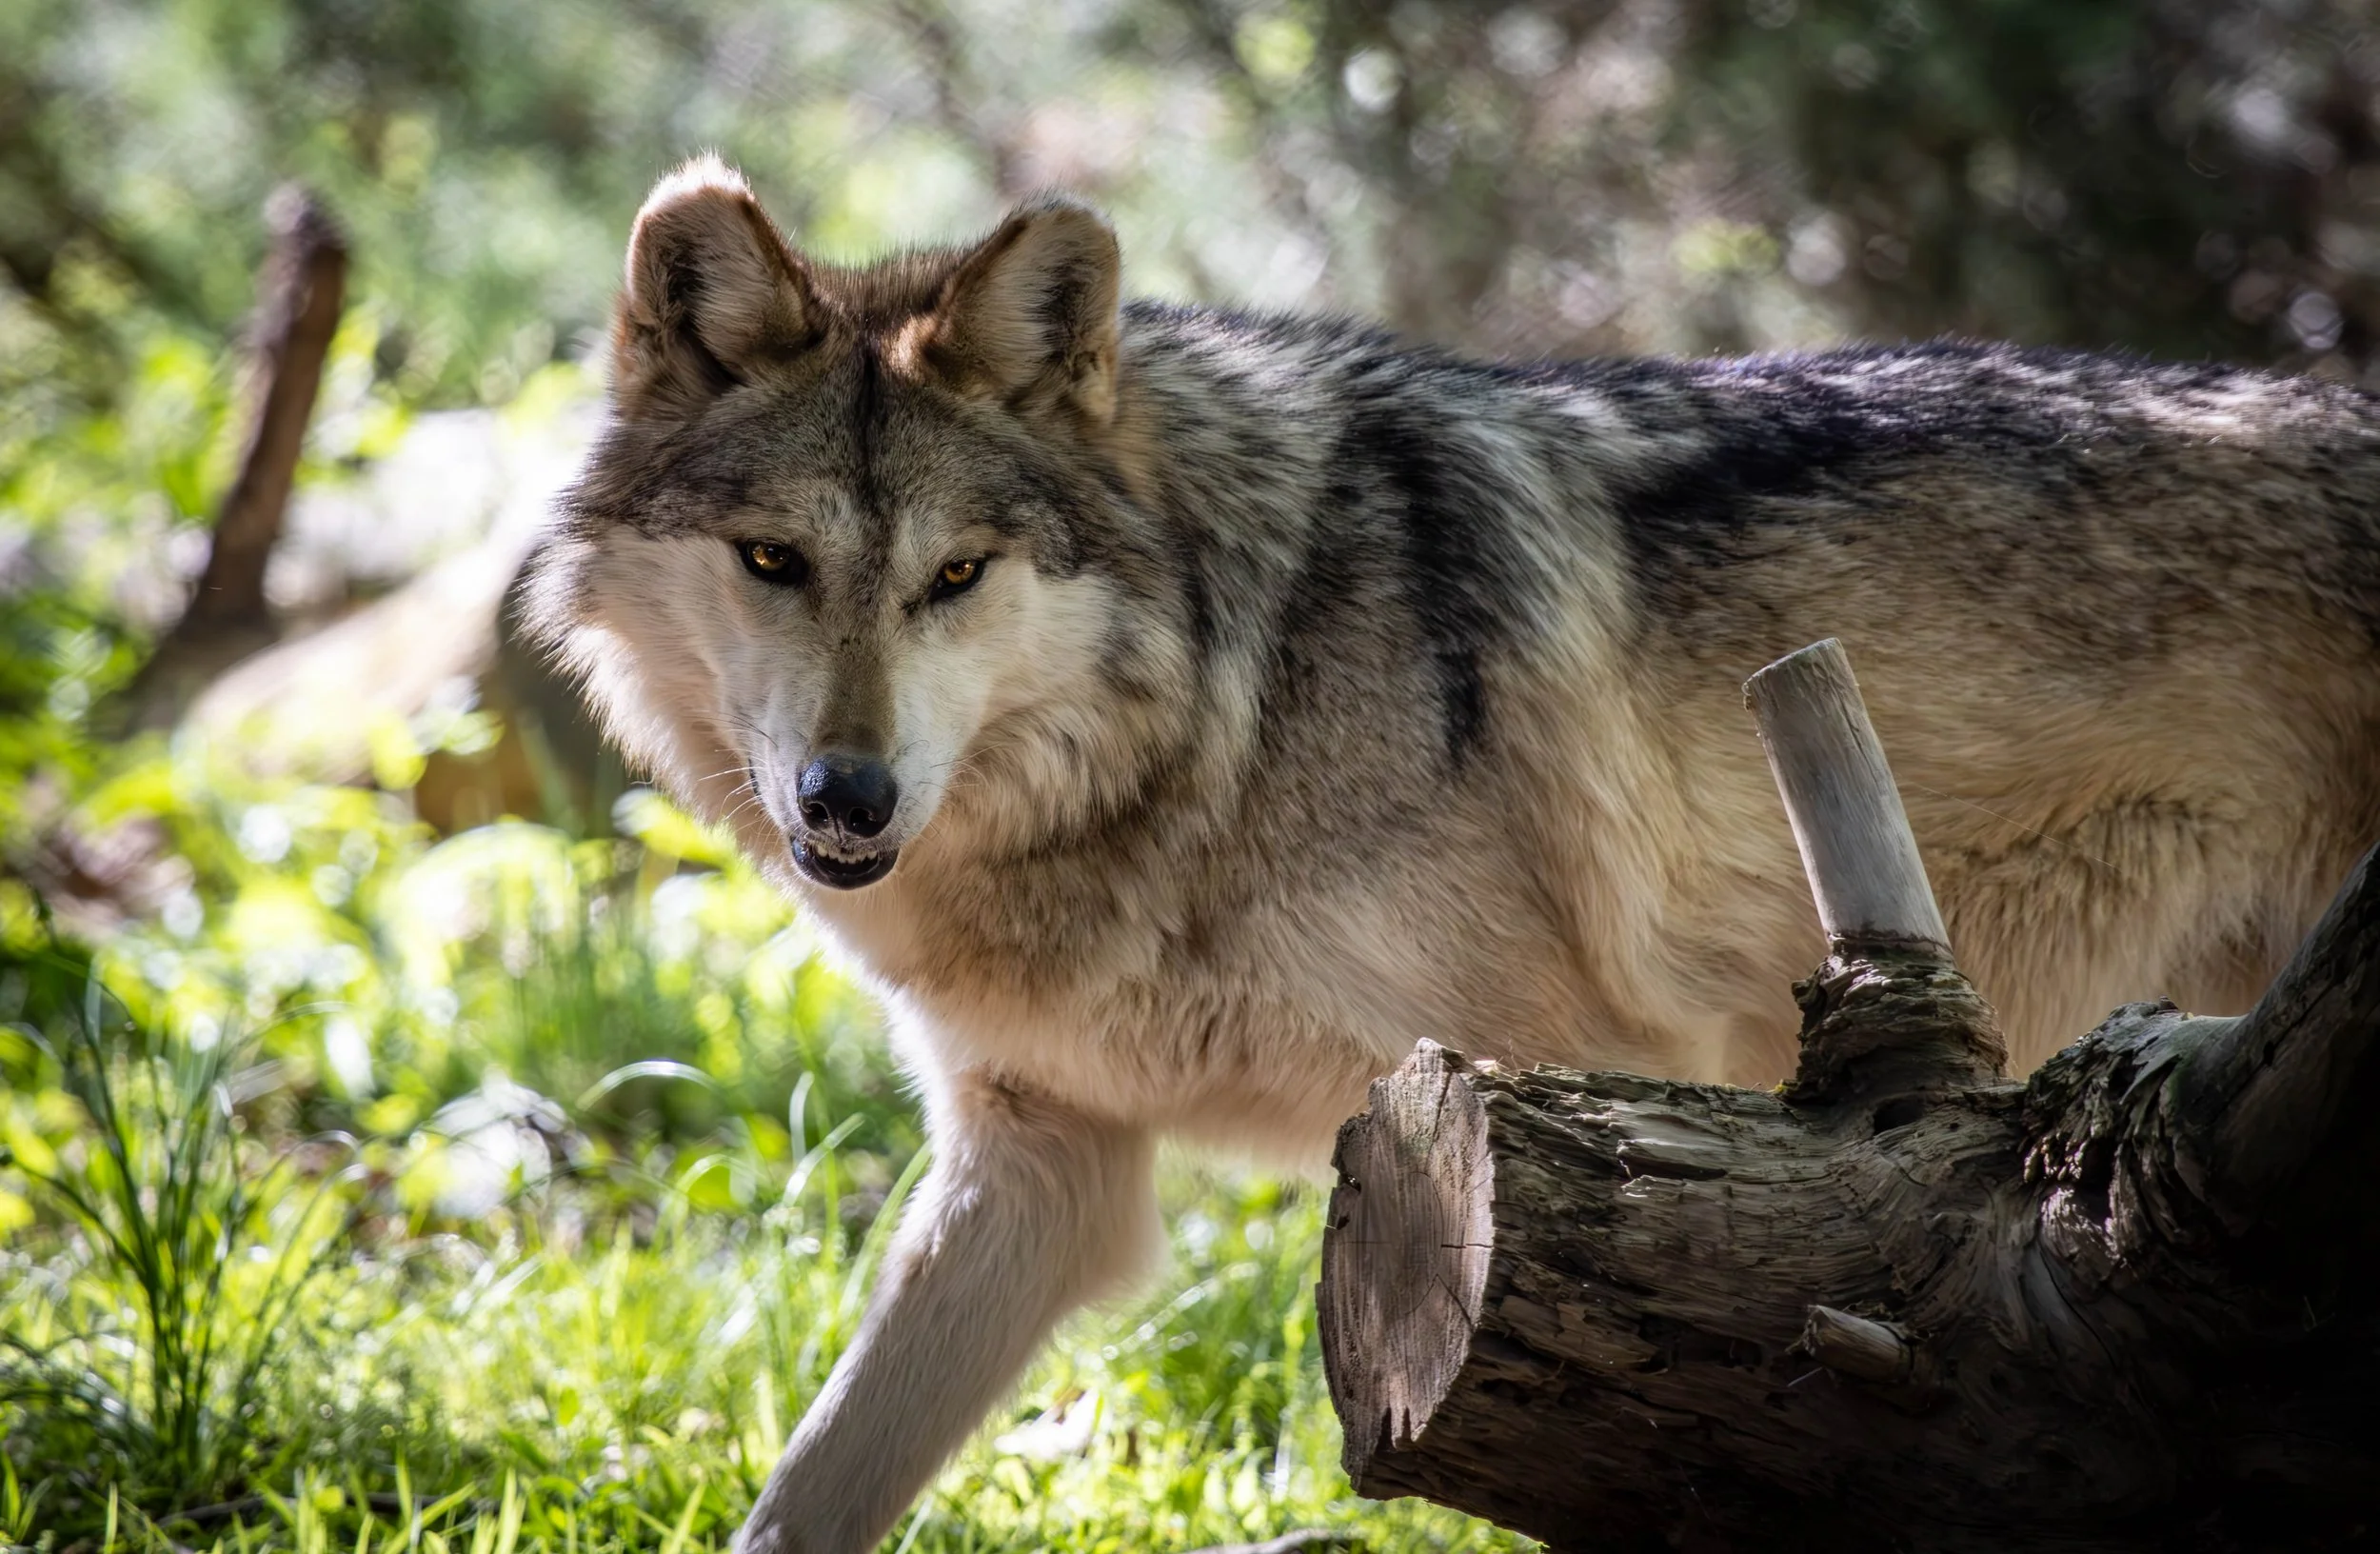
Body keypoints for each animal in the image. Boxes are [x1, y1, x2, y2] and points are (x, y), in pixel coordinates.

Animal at [524, 155, 2380, 1551]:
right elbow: (807, 1490)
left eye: (956, 577)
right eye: (775, 559)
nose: (846, 799)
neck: (1229, 710)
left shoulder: (1563, 1137)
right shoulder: (1035, 1173)